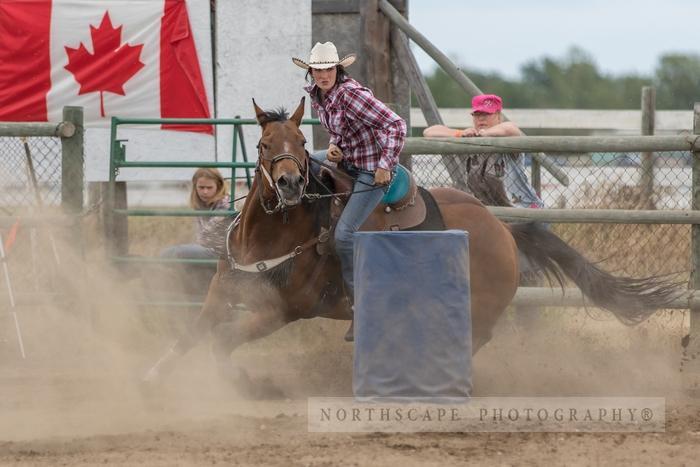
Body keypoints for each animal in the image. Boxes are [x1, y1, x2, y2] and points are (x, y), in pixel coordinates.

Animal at [141, 98, 680, 394]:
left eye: (300, 140)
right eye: (263, 144)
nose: (292, 184)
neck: (272, 237)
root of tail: (502, 229)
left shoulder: (284, 309)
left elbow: (223, 340)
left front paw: (252, 387)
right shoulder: (221, 290)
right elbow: (194, 335)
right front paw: (152, 379)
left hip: (477, 306)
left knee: (470, 341)